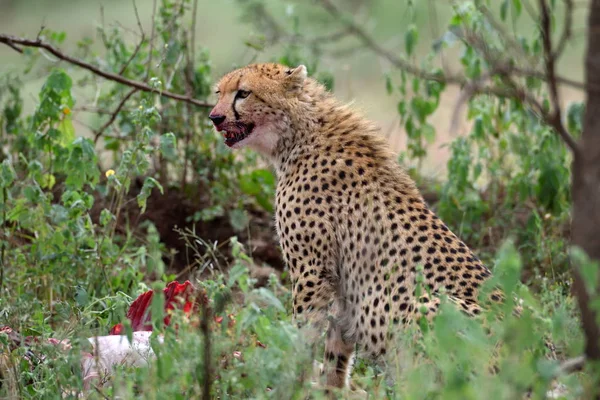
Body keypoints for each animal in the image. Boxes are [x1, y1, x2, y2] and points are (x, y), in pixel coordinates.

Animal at [209, 63, 500, 390]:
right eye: (219, 93)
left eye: (243, 93)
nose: (214, 117)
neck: (300, 133)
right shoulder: (340, 282)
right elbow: (336, 346)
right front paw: (329, 388)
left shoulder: (312, 271)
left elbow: (305, 332)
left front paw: (294, 380)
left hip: (426, 304)